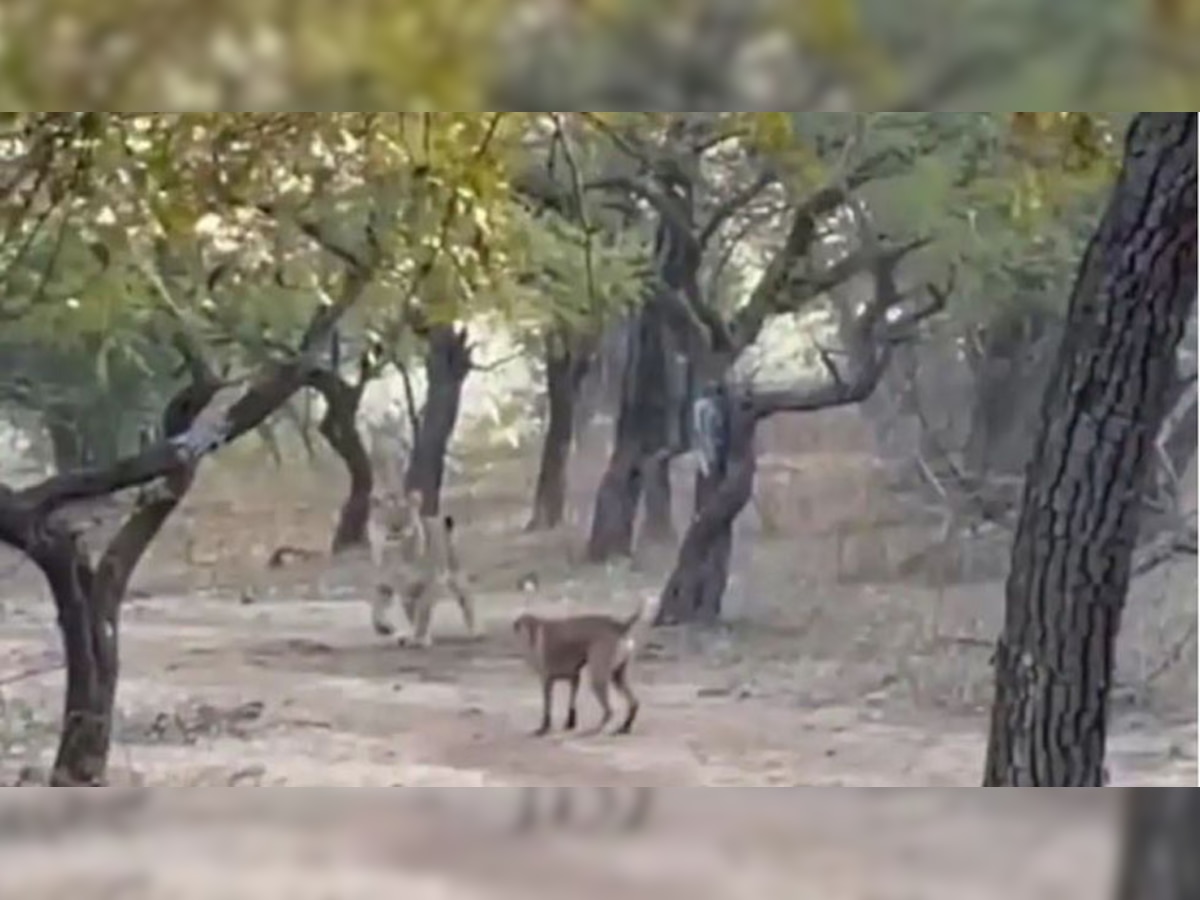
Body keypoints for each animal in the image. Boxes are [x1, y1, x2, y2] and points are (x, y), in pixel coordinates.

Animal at [511, 595, 662, 734]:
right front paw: (570, 723)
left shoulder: (546, 681)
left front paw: (545, 727)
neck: (533, 630)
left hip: (599, 678)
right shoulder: (574, 678)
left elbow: (547, 707)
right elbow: (571, 704)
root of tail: (620, 626)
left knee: (610, 710)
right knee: (633, 702)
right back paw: (625, 726)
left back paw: (599, 728)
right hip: (618, 676)